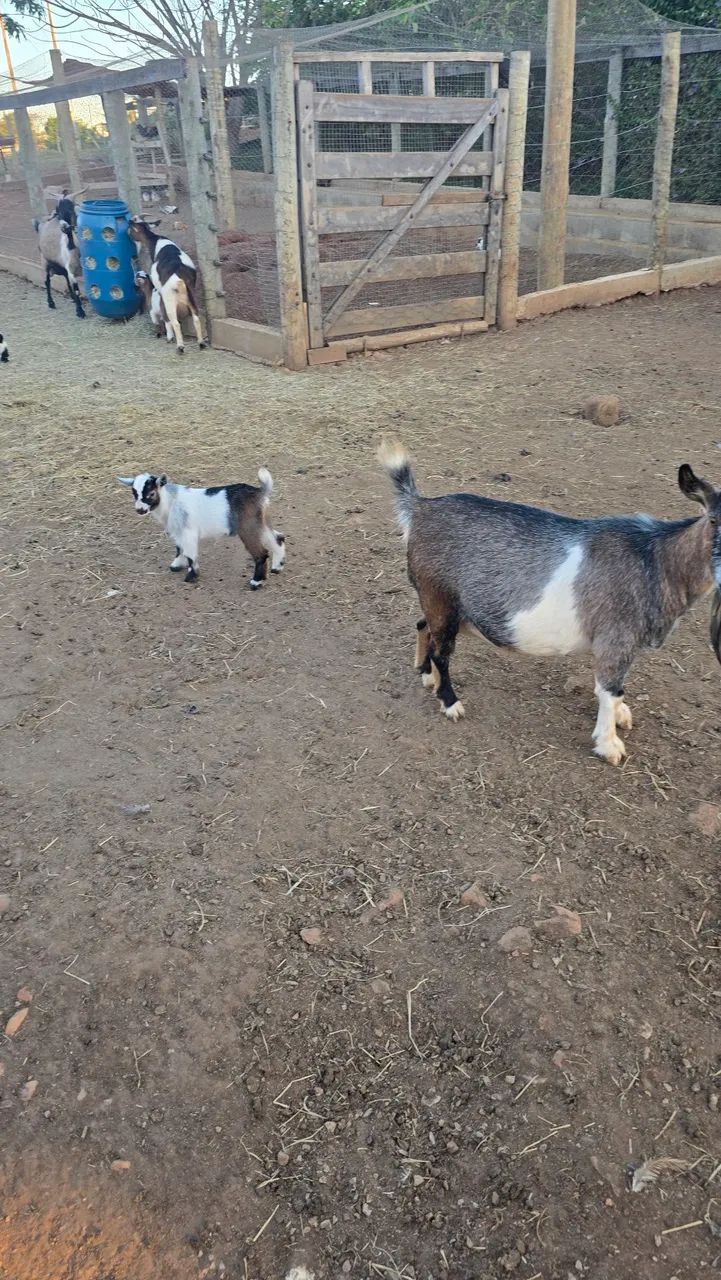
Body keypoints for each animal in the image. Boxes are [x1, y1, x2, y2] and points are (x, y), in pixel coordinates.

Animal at [33, 189, 86, 319]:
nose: (64, 227)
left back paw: (71, 298)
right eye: (58, 210)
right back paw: (51, 303)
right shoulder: (71, 269)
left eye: (71, 208)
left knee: (65, 279)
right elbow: (77, 289)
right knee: (47, 282)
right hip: (45, 262)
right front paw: (80, 312)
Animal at [116, 469, 286, 587]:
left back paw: (256, 582)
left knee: (262, 553)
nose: (140, 510)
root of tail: (260, 492)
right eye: (134, 493)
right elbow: (179, 548)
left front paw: (191, 576)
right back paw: (277, 567)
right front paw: (177, 564)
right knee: (278, 538)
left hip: (248, 528)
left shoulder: (188, 531)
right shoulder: (178, 530)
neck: (171, 500)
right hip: (261, 523)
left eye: (151, 493)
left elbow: (190, 554)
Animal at [128, 217, 204, 354]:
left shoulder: (160, 290)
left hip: (170, 299)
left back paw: (180, 347)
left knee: (175, 322)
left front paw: (168, 336)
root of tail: (179, 278)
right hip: (191, 294)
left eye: (131, 230)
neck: (156, 240)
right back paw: (201, 343)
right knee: (196, 318)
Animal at [380, 442, 721, 765]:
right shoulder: (616, 639)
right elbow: (610, 690)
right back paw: (450, 702)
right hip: (440, 598)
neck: (655, 560)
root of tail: (420, 507)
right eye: (714, 519)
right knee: (442, 652)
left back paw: (426, 676)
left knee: (423, 626)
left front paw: (621, 717)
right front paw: (609, 745)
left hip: (444, 606)